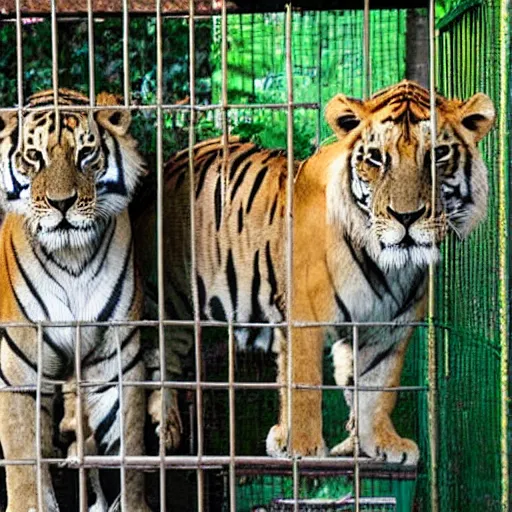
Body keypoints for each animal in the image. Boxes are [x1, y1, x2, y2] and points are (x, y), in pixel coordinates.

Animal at [134, 80, 494, 464]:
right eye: (376, 158)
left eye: (437, 155)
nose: (406, 217)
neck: (390, 267)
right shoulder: (303, 316)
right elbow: (303, 383)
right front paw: (300, 446)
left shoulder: (389, 328)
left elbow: (378, 388)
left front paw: (381, 442)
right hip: (167, 302)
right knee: (158, 360)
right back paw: (164, 429)